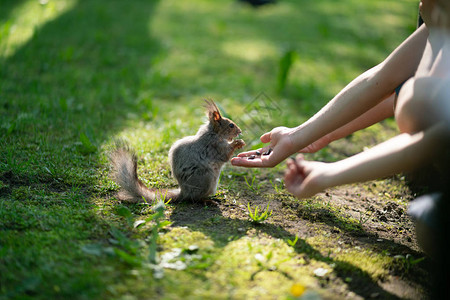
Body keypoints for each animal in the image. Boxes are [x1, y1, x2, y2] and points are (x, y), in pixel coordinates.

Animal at [110, 99, 246, 203]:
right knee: (195, 199)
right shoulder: (214, 146)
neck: (213, 133)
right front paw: (238, 143)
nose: (240, 131)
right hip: (205, 178)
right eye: (231, 125)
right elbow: (225, 154)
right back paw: (207, 201)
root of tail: (184, 192)